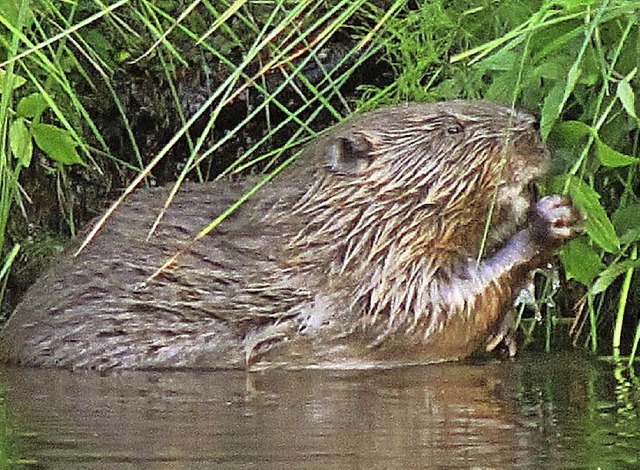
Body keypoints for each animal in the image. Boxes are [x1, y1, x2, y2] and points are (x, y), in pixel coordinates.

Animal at [0, 103, 584, 370]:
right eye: (452, 128)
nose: (532, 125)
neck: (328, 225)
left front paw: (510, 333)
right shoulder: (360, 281)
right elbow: (429, 317)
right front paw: (548, 220)